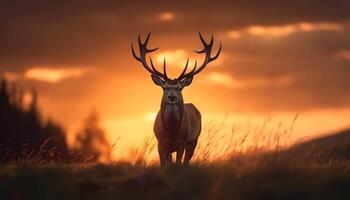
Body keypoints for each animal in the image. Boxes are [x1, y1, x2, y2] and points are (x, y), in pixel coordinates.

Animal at [131, 32, 221, 166]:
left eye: (180, 88)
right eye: (164, 87)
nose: (172, 97)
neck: (172, 131)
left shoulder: (181, 141)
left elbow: (178, 163)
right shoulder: (161, 142)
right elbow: (164, 164)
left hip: (194, 140)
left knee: (187, 161)